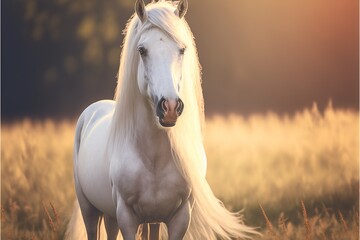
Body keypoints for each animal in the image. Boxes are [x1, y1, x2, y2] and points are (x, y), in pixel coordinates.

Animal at [65, 0, 256, 240]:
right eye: (142, 50)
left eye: (182, 49)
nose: (170, 107)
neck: (154, 158)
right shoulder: (127, 218)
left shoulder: (180, 217)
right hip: (90, 210)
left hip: (135, 218)